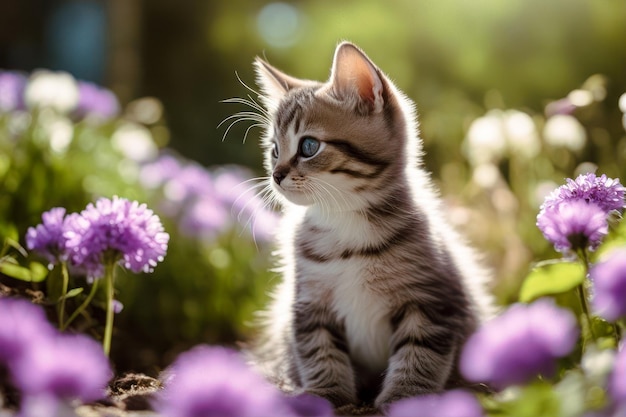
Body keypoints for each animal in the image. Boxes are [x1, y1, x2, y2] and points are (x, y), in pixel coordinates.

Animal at [243, 41, 492, 410]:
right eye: (274, 150)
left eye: (308, 146)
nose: (275, 175)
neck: (345, 222)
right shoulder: (309, 303)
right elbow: (319, 350)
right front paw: (324, 394)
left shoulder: (430, 299)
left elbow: (420, 352)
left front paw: (407, 398)